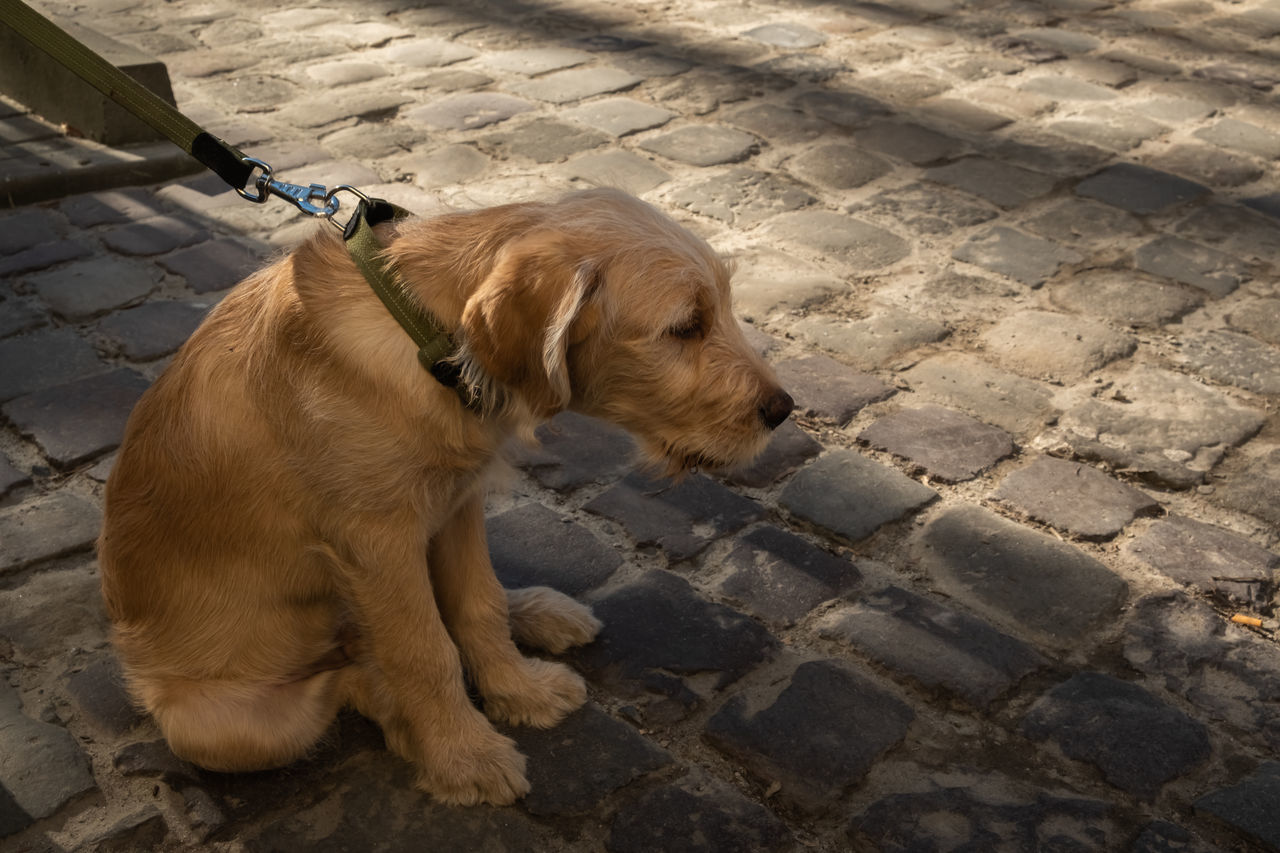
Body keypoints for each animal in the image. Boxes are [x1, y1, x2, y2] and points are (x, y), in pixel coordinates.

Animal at [99, 188, 793, 804]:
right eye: (686, 327)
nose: (782, 410)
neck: (427, 338)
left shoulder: (456, 504)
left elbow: (476, 605)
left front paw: (518, 690)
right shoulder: (377, 542)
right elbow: (423, 651)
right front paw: (464, 755)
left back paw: (534, 613)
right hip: (226, 727)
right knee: (348, 673)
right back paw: (398, 709)